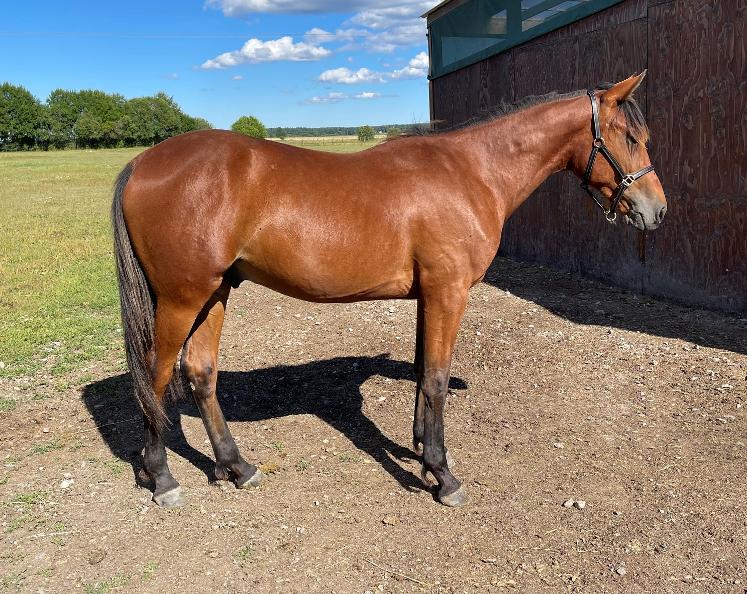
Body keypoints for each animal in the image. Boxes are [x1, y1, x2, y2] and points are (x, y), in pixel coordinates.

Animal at [111, 72, 666, 508]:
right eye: (629, 137)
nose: (656, 211)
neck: (472, 172)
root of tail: (143, 162)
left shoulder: (429, 296)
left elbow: (422, 371)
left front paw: (421, 450)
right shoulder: (448, 293)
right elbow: (437, 379)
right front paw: (443, 475)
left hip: (215, 293)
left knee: (200, 373)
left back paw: (236, 467)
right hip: (182, 298)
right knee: (156, 377)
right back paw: (162, 477)